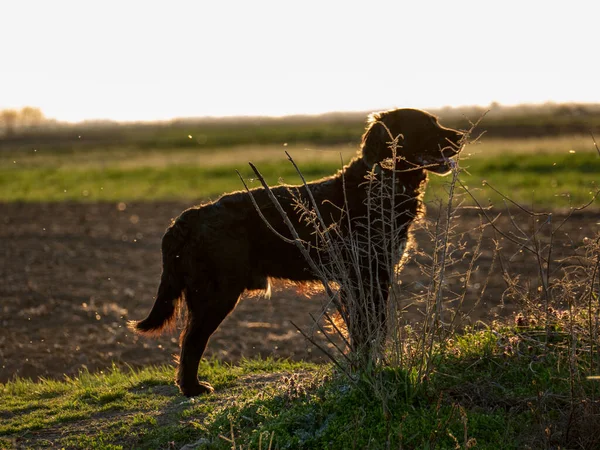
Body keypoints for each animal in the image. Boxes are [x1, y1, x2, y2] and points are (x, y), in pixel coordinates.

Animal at [131, 107, 464, 396]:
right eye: (426, 125)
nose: (461, 136)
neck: (381, 183)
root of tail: (189, 217)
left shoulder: (370, 278)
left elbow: (370, 330)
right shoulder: (366, 277)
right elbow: (368, 331)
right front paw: (367, 369)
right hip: (216, 295)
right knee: (192, 342)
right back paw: (193, 389)